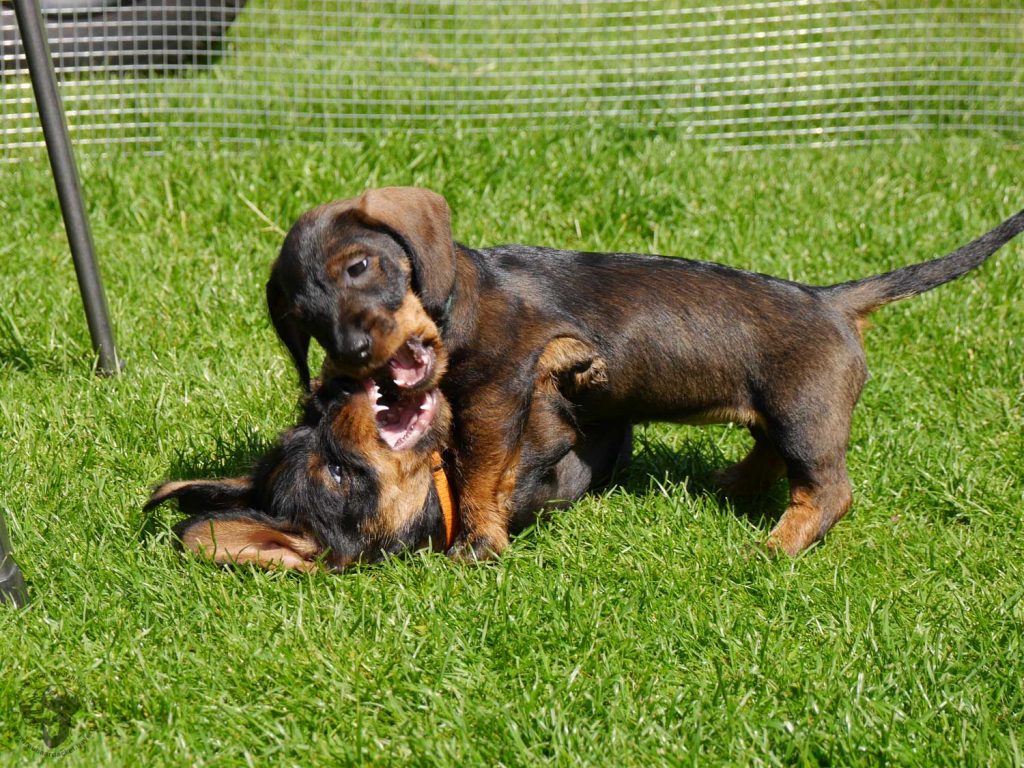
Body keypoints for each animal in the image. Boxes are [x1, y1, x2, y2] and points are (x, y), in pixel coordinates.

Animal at [266, 186, 1024, 561]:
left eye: (360, 265)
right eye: (305, 319)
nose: (350, 354)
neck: (462, 304)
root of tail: (832, 300)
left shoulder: (499, 393)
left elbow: (481, 474)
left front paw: (478, 542)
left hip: (807, 417)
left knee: (828, 491)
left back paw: (777, 547)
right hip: (781, 413)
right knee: (770, 455)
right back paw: (729, 487)